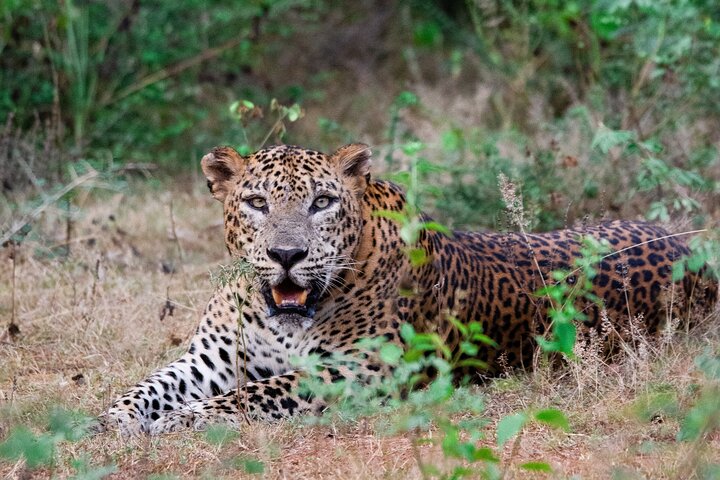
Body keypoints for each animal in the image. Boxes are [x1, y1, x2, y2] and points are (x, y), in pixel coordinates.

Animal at [96, 143, 718, 436]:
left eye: (322, 202)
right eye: (255, 203)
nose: (286, 256)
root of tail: (692, 248)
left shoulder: (362, 370)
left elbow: (258, 394)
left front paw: (179, 422)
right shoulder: (210, 359)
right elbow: (148, 387)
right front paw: (110, 420)